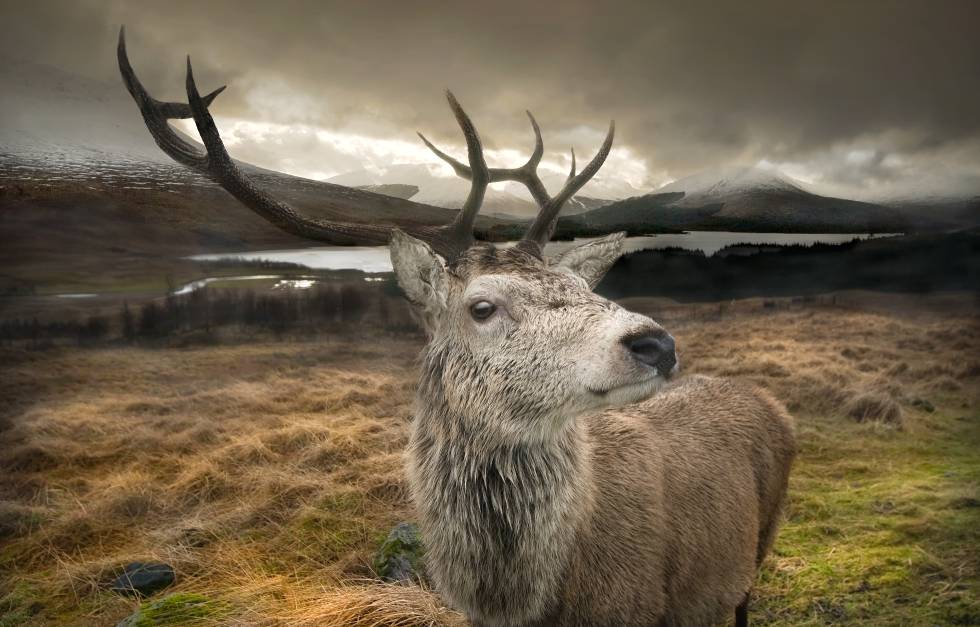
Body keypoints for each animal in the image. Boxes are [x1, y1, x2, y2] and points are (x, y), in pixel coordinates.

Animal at [118, 27, 796, 627]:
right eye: (482, 307)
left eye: (584, 289)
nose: (656, 342)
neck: (526, 600)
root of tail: (772, 402)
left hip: (760, 542)